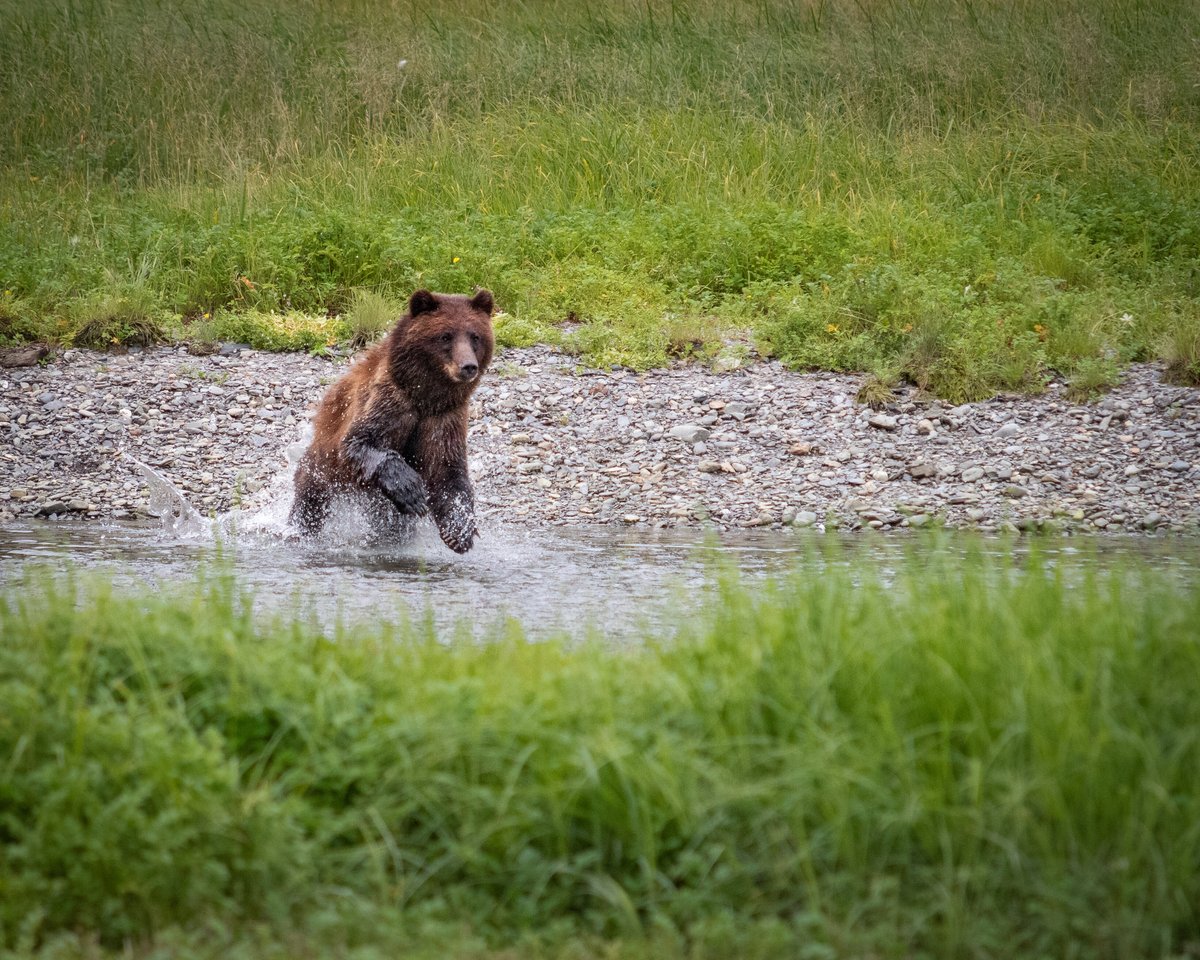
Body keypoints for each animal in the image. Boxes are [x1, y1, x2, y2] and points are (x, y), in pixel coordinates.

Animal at [288, 289, 494, 552]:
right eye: (445, 336)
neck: (426, 397)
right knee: (310, 503)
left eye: (475, 336)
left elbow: (447, 470)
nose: (468, 366)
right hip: (322, 467)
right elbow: (361, 442)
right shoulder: (390, 400)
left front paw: (460, 530)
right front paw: (412, 491)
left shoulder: (445, 417)